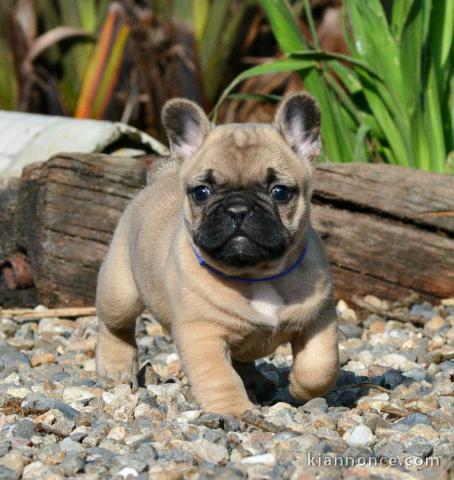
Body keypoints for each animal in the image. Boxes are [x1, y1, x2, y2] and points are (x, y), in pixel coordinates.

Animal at [95, 93, 336, 416]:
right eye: (201, 192)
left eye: (280, 192)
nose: (238, 209)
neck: (256, 272)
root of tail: (162, 176)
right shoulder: (203, 335)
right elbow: (219, 376)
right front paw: (233, 410)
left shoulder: (320, 318)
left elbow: (320, 366)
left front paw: (300, 388)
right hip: (120, 293)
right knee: (114, 325)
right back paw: (116, 368)